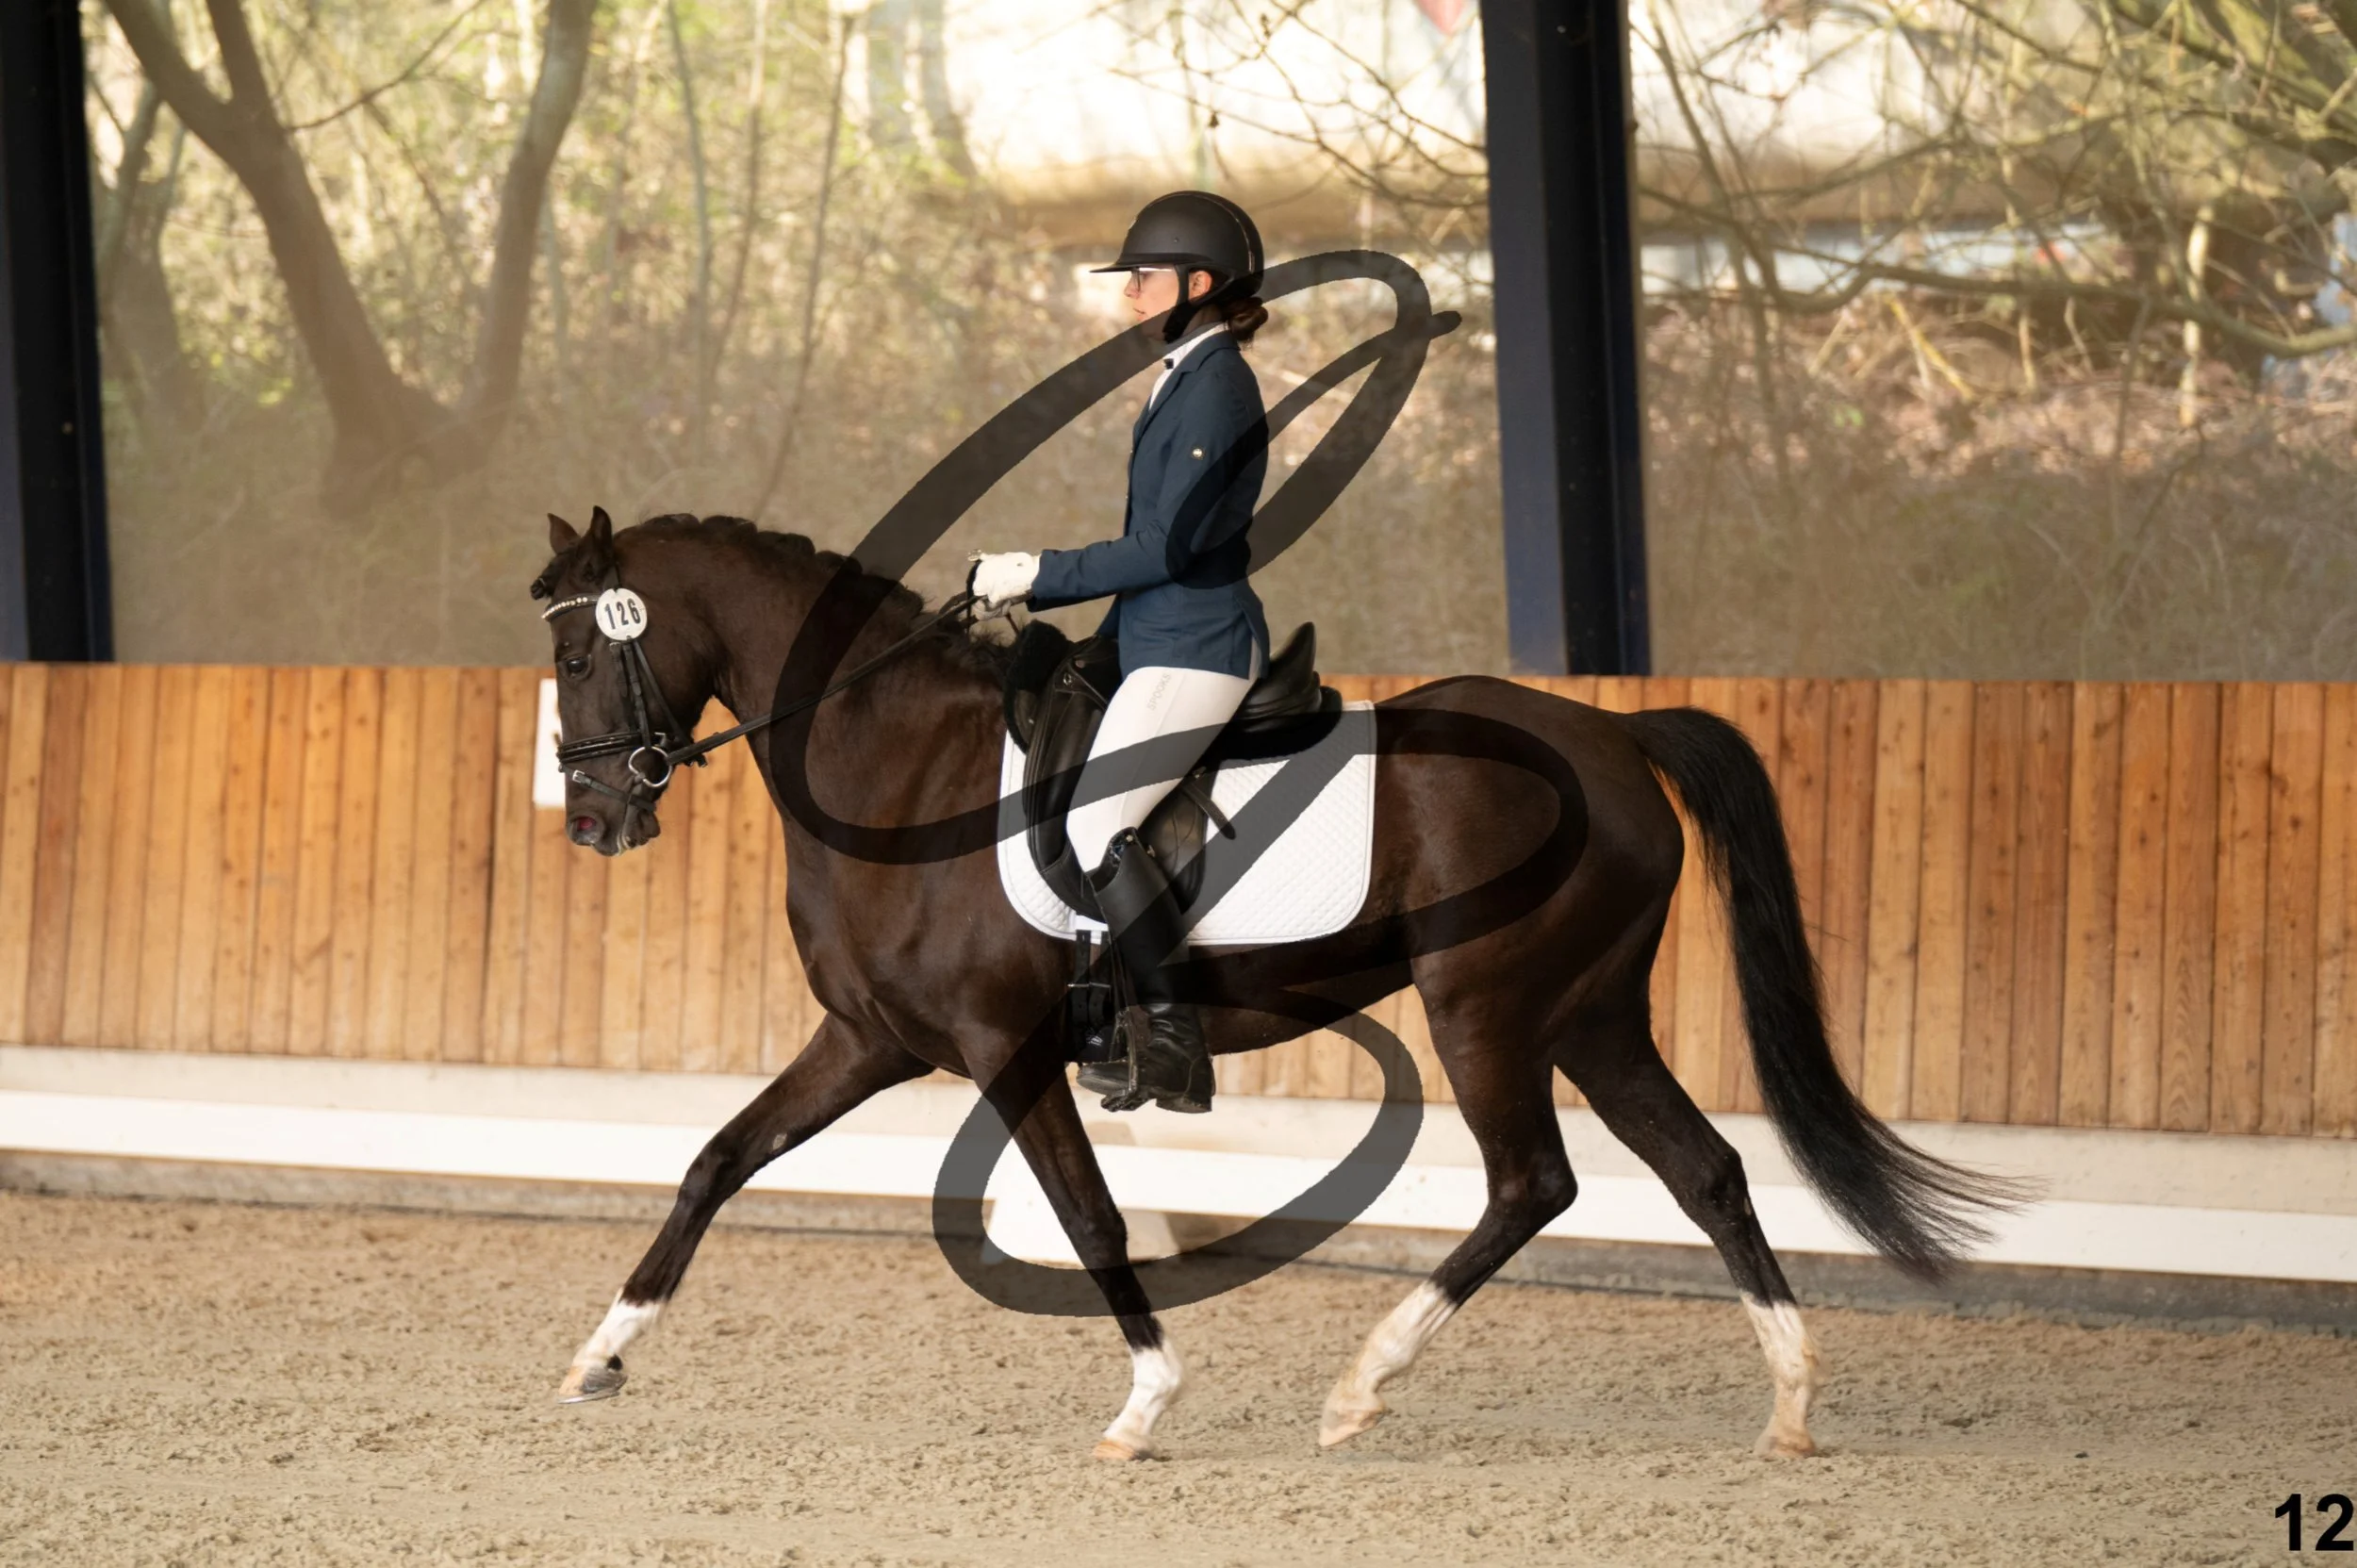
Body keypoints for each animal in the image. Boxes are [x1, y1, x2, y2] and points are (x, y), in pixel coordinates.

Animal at [538, 506, 2015, 1461]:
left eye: (575, 655)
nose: (592, 821)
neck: (898, 768)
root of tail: (1610, 732)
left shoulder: (1002, 1045)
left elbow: (1092, 1221)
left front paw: (1146, 1403)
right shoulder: (870, 1040)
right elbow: (718, 1160)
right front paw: (601, 1351)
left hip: (1485, 1007)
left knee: (1534, 1182)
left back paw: (1362, 1386)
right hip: (1592, 1012)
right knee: (1704, 1168)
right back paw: (1791, 1405)